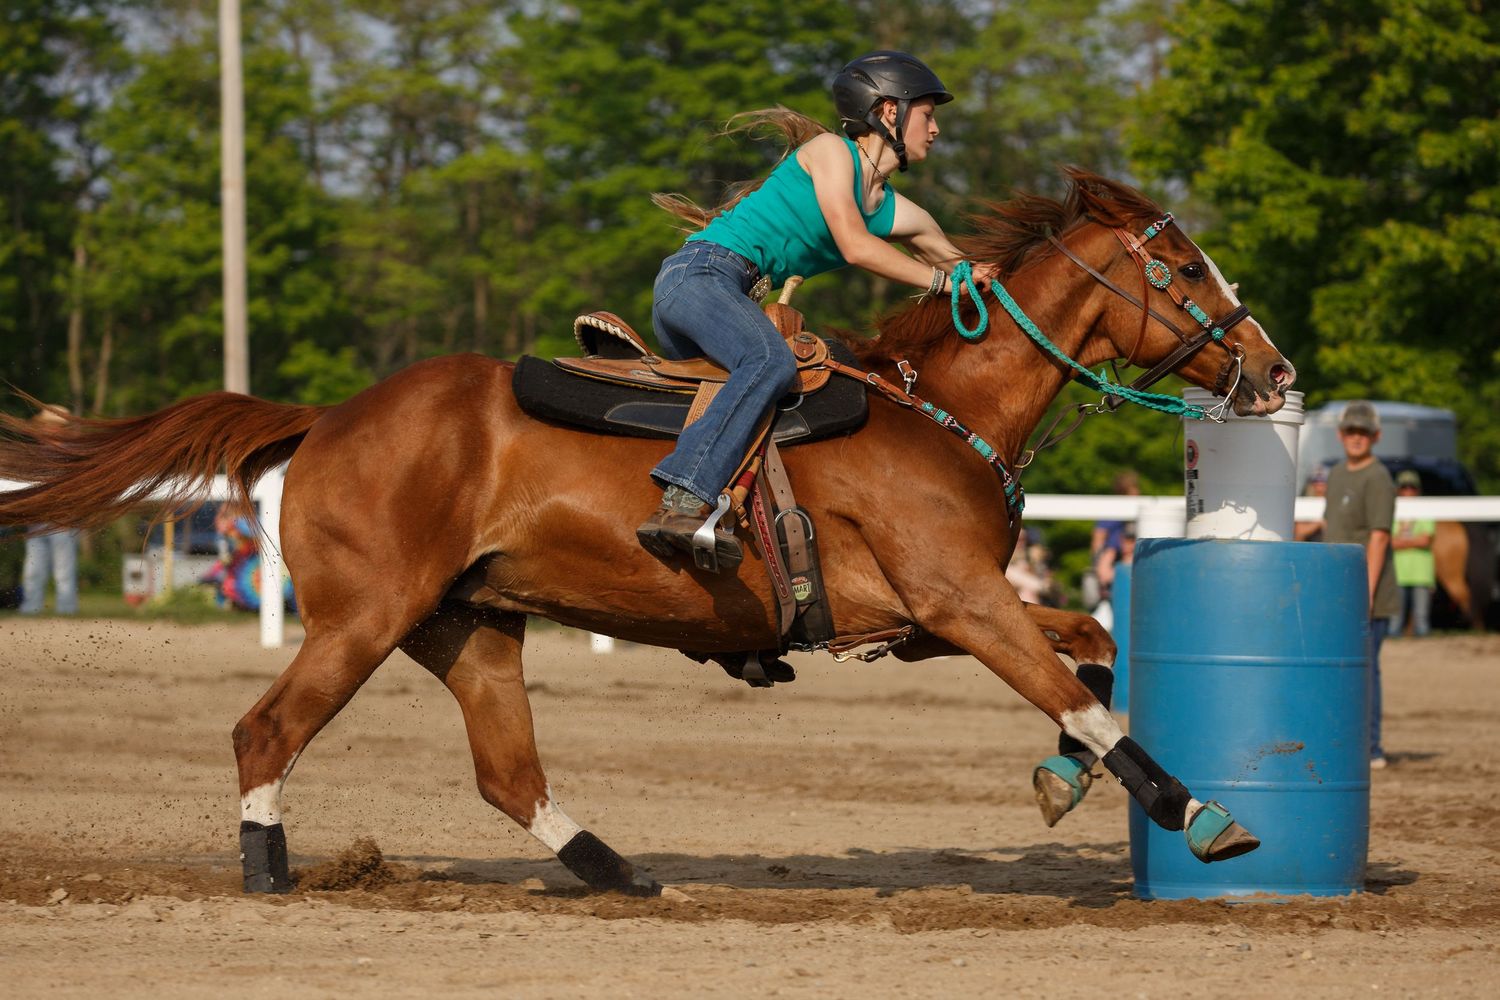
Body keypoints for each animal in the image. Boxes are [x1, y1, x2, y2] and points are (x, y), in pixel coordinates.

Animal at [0, 169, 1296, 897]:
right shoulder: (961, 601)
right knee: (266, 729)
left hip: (471, 626)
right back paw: (267, 872)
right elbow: (1086, 689)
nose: (1277, 371)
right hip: (362, 619)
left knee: (508, 773)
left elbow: (1095, 654)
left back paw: (618, 871)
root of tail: (329, 415)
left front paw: (1062, 780)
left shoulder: (935, 614)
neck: (936, 408)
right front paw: (1199, 814)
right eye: (1182, 267)